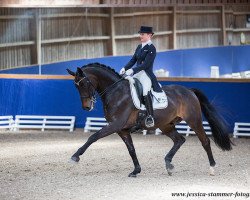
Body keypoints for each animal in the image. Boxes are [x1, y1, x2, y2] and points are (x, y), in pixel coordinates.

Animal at [67, 62, 232, 177]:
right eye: (75, 86)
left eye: (84, 83)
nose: (86, 107)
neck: (116, 92)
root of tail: (189, 90)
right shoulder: (122, 130)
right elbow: (131, 149)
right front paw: (136, 170)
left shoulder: (115, 125)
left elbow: (93, 137)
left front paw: (75, 156)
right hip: (166, 125)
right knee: (179, 140)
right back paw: (168, 165)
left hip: (194, 120)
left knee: (205, 141)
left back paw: (212, 168)